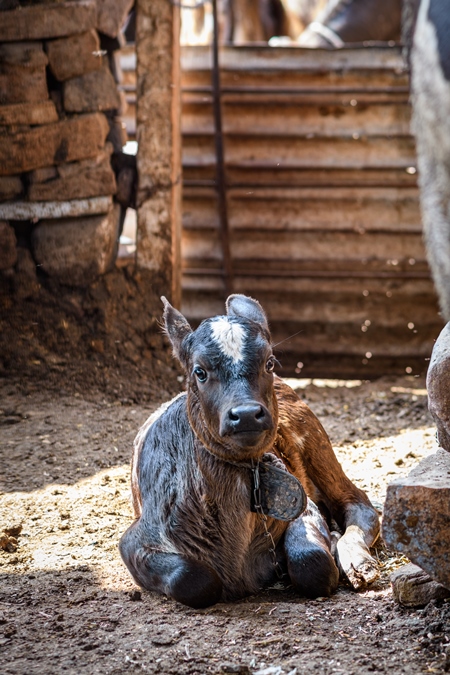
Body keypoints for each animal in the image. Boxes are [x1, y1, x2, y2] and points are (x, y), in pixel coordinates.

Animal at [119, 294, 380, 608]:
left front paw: (329, 543)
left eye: (270, 362)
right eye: (199, 371)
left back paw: (357, 561)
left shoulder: (305, 506)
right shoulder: (135, 539)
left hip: (317, 443)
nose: (245, 415)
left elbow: (313, 562)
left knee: (359, 503)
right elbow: (193, 579)